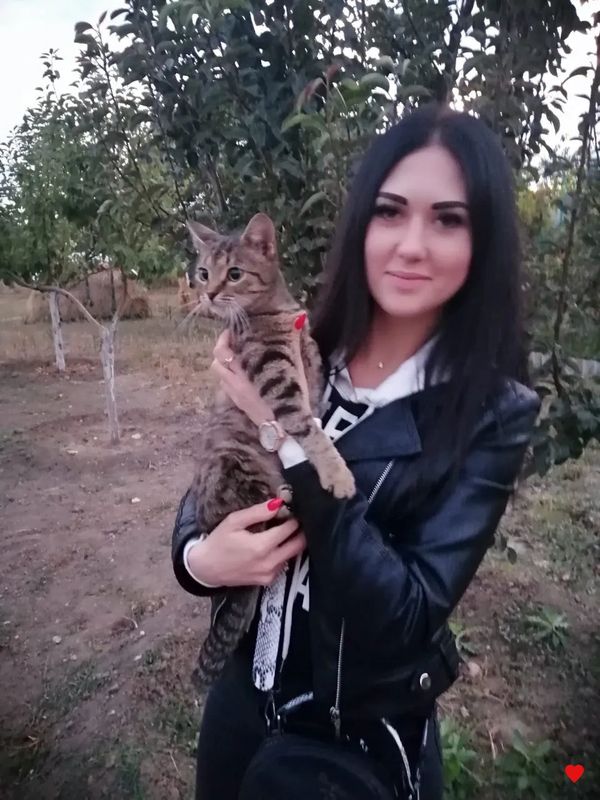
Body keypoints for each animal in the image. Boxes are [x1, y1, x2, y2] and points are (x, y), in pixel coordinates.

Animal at [186, 212, 356, 688]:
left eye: (234, 274)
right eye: (203, 272)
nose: (208, 293)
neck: (274, 311)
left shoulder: (308, 355)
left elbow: (317, 385)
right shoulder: (273, 372)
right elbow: (305, 425)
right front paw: (338, 474)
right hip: (240, 472)